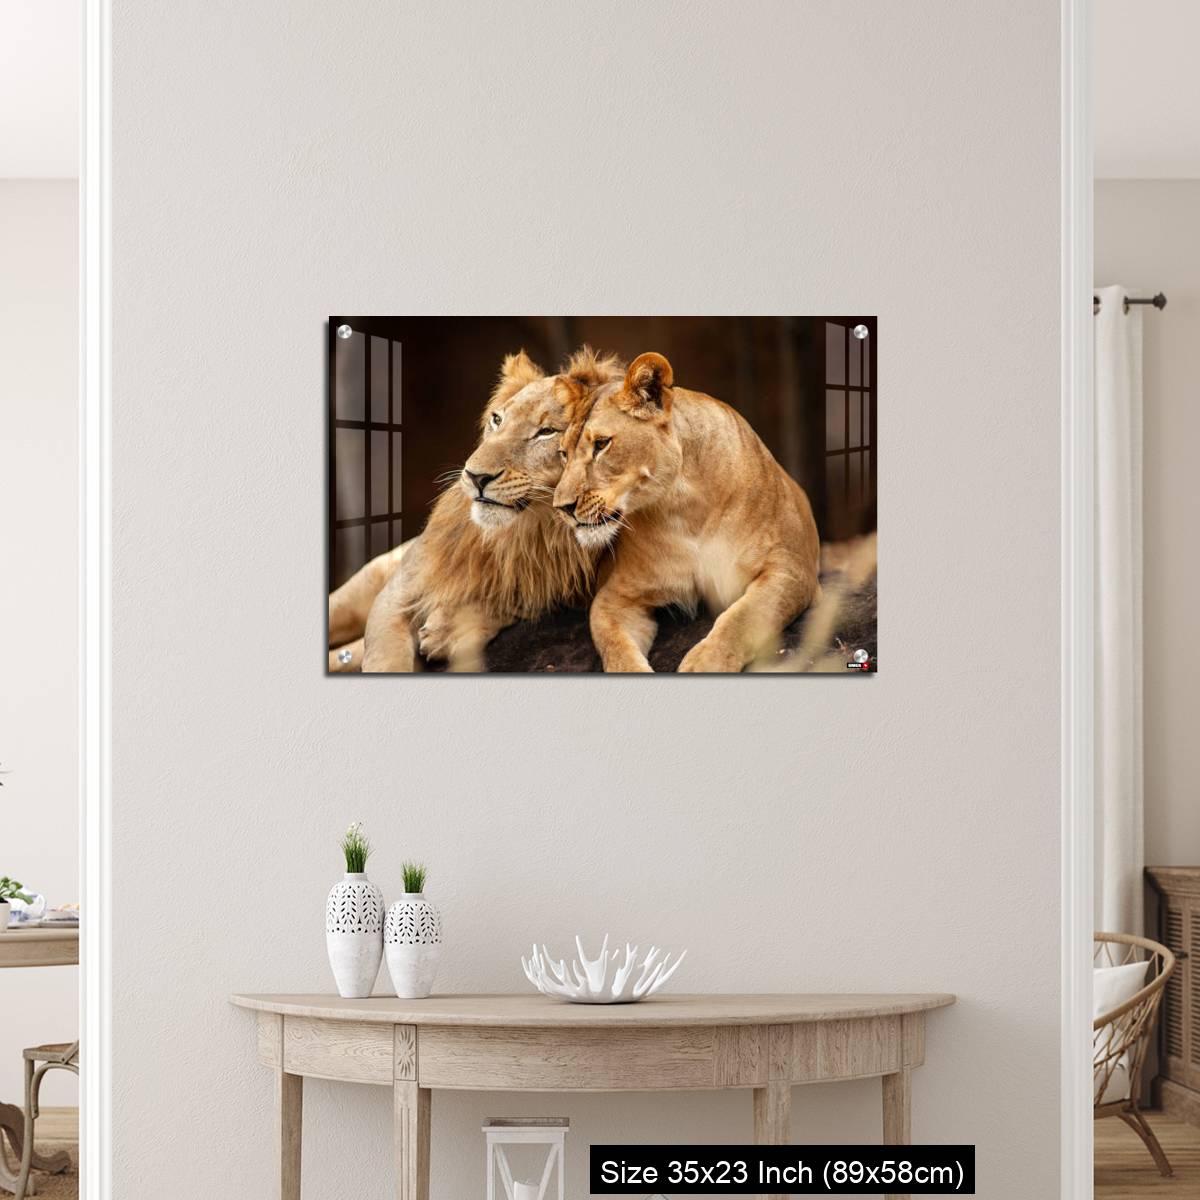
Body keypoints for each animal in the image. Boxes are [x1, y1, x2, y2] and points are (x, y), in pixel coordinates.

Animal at [328, 346, 624, 673]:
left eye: (547, 431)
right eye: (497, 419)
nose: (475, 476)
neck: (528, 530)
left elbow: (517, 598)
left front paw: (447, 630)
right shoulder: (396, 595)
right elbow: (387, 659)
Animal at [551, 351, 821, 672]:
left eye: (602, 444)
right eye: (563, 454)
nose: (562, 507)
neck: (684, 507)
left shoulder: (792, 569)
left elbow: (742, 617)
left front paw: (705, 663)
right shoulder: (616, 596)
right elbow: (615, 647)